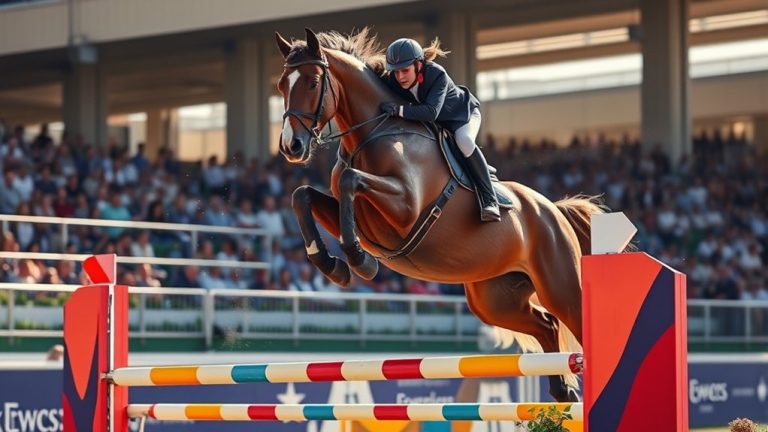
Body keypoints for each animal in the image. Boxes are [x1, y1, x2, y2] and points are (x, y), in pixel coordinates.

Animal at [275, 28, 605, 403]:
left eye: (314, 82)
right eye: (282, 85)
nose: (291, 147)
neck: (374, 133)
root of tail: (554, 211)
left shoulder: (404, 207)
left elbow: (349, 181)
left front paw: (359, 260)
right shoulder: (359, 211)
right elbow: (303, 195)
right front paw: (331, 264)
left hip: (560, 286)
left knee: (570, 319)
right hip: (494, 300)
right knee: (546, 325)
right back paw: (563, 392)